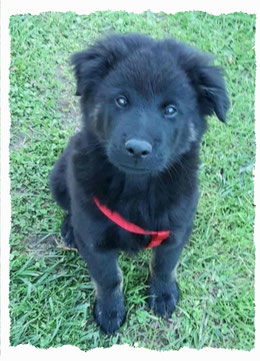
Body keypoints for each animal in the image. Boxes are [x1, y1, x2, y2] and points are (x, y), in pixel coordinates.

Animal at [49, 33, 230, 332]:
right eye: (122, 100)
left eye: (171, 109)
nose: (137, 148)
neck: (137, 187)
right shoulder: (96, 241)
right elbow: (109, 278)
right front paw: (110, 311)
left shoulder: (176, 229)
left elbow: (164, 265)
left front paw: (163, 294)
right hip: (60, 177)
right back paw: (70, 229)